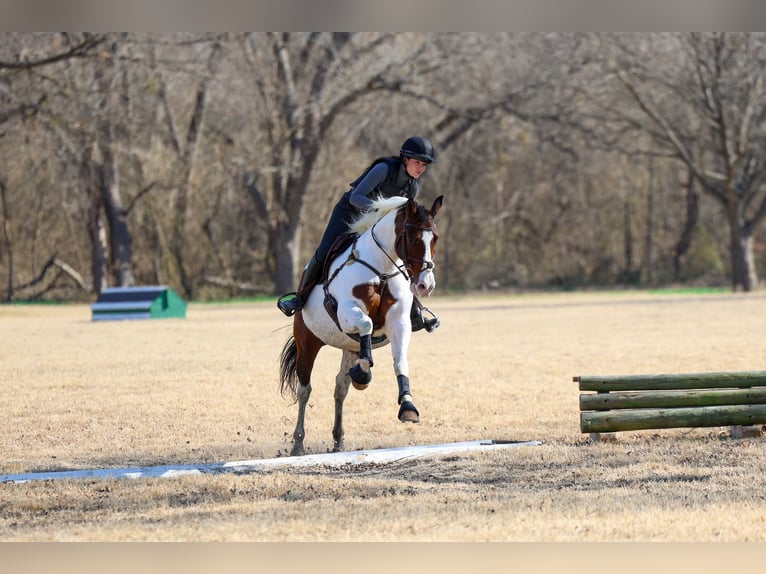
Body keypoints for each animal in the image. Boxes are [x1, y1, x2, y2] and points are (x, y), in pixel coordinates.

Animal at [279, 194, 444, 456]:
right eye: (412, 238)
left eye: (434, 238)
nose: (425, 285)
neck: (382, 269)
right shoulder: (347, 312)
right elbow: (366, 324)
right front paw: (363, 375)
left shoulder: (398, 322)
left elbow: (399, 361)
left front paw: (407, 407)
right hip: (308, 342)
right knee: (304, 390)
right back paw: (298, 444)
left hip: (349, 348)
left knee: (340, 388)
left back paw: (339, 440)